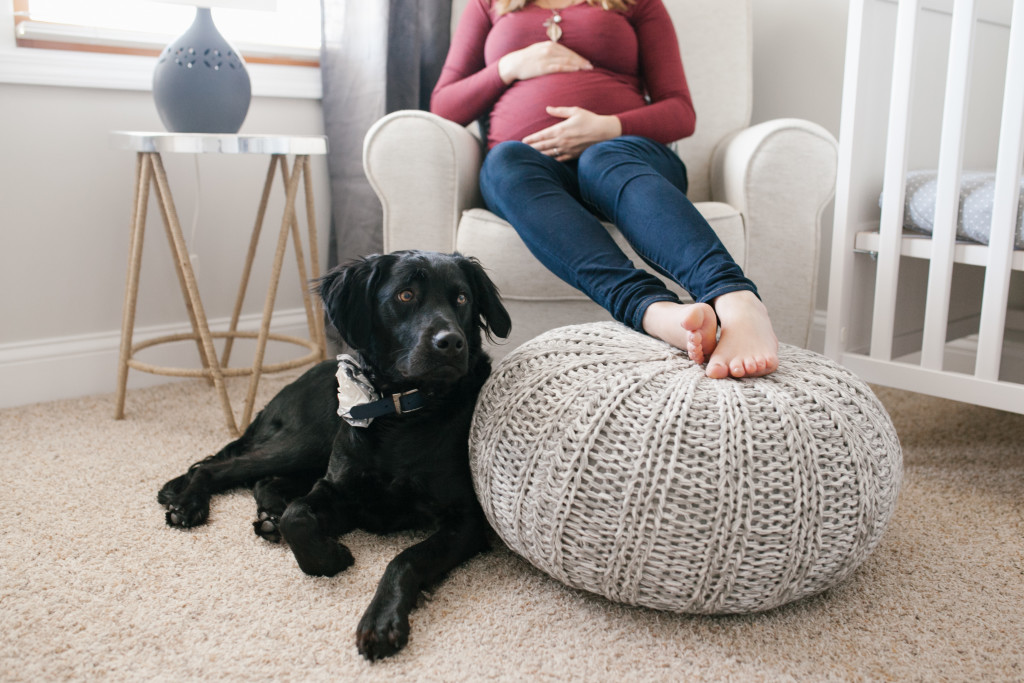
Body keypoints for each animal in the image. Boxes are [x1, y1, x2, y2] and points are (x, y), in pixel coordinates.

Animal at [157, 250, 512, 663]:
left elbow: (405, 557)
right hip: (306, 441)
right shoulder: (339, 490)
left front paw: (381, 620)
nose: (452, 343)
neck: (404, 413)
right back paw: (189, 504)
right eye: (406, 295)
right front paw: (329, 558)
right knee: (218, 467)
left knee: (262, 481)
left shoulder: (465, 521)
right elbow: (299, 516)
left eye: (462, 298)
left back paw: (267, 515)